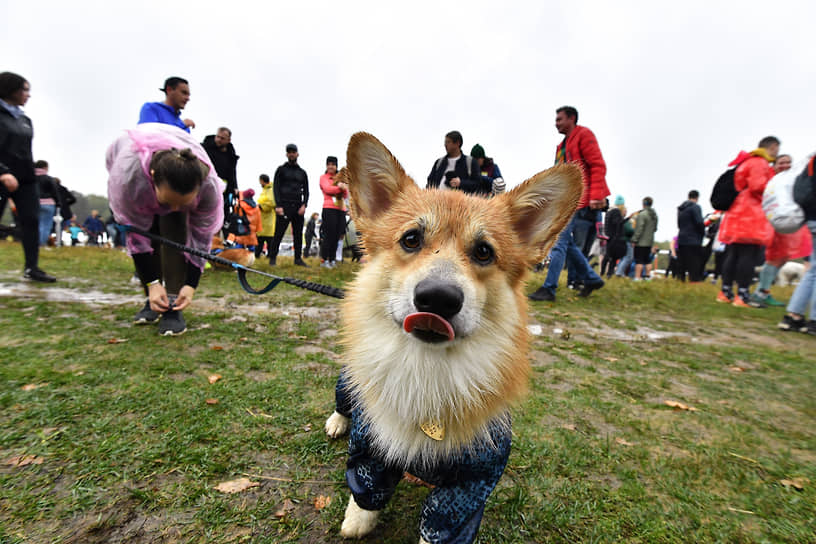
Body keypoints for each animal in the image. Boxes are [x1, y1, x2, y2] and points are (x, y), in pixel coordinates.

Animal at [324, 133, 580, 544]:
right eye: (411, 239)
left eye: (484, 252)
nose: (438, 298)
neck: (428, 371)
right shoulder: (370, 449)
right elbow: (366, 490)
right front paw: (357, 521)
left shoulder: (474, 480)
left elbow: (441, 525)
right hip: (349, 384)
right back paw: (336, 421)